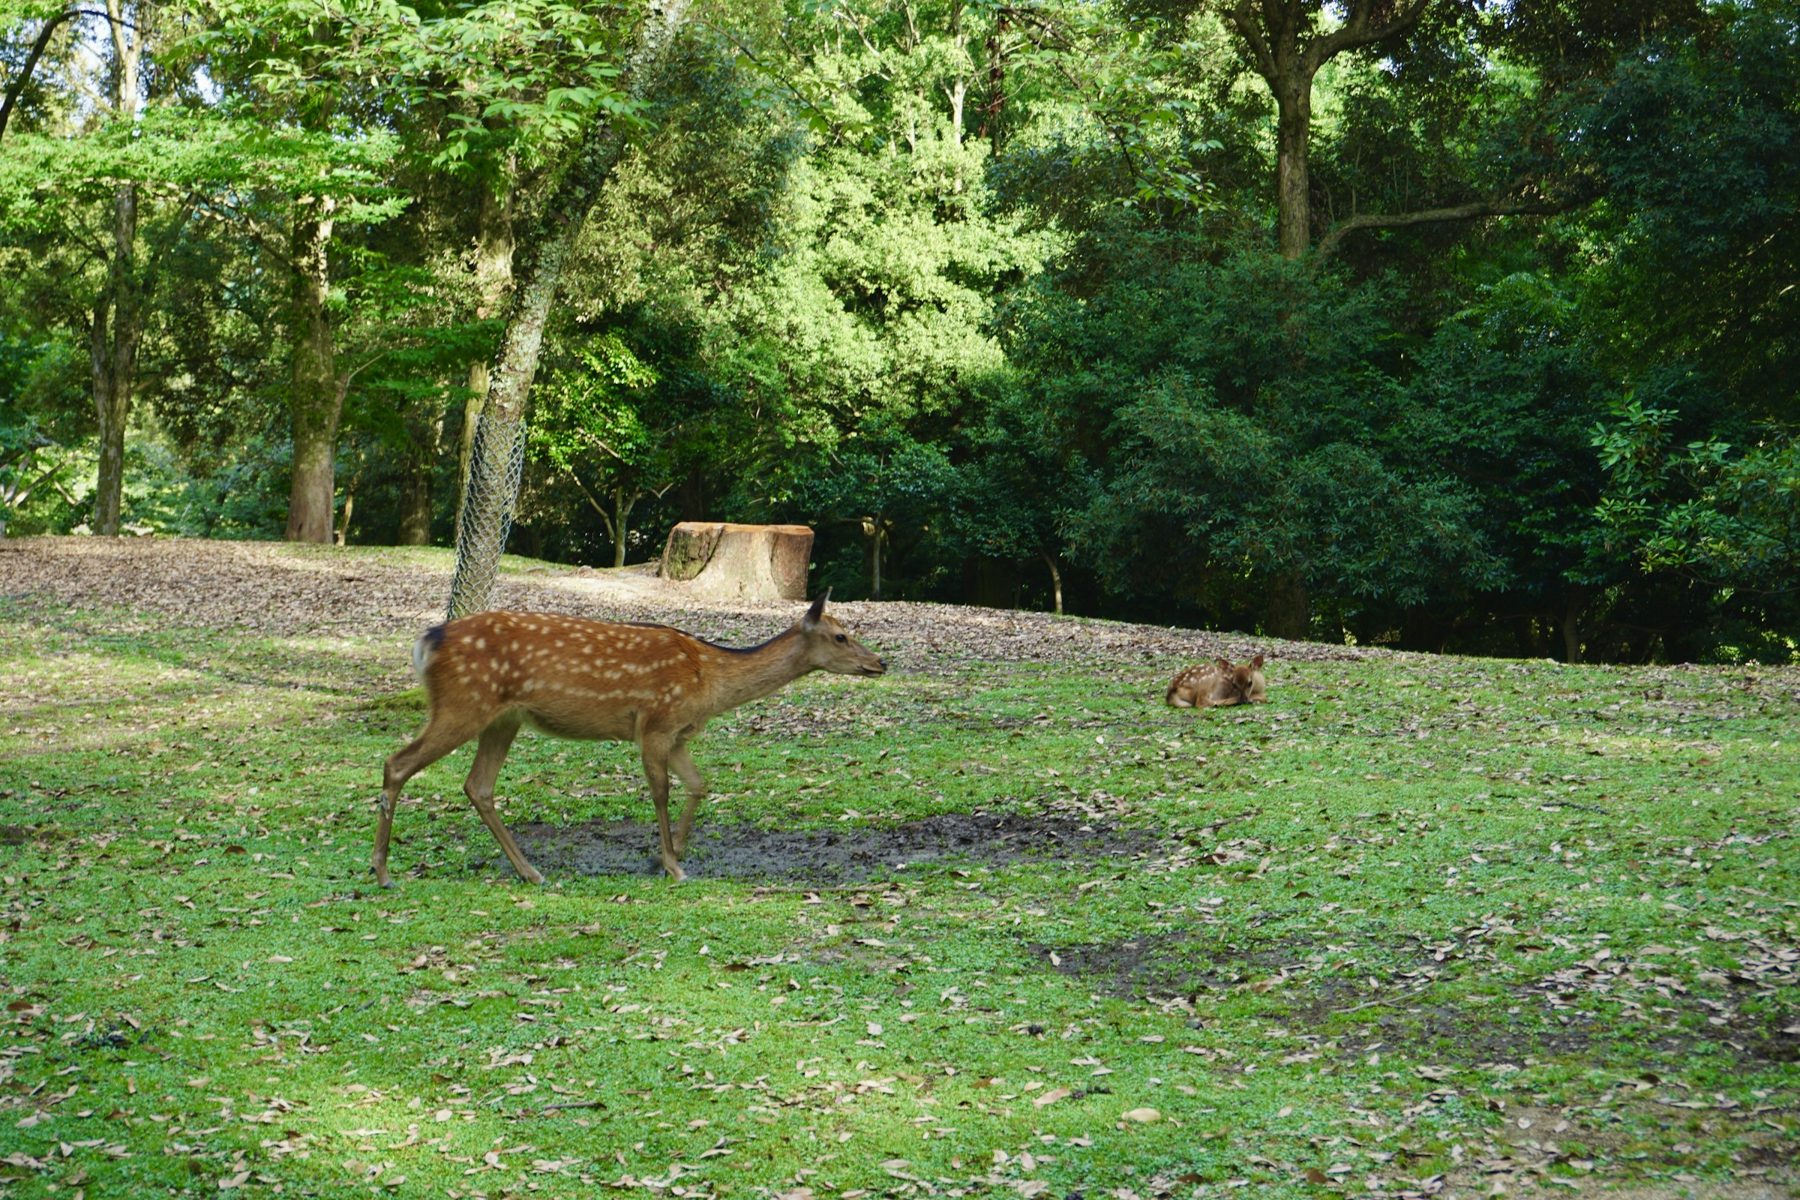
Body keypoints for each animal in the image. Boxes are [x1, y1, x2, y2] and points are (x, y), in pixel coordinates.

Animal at [373, 594, 885, 886]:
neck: (711, 681)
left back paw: (530, 871)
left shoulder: (679, 734)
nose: (880, 663)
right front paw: (673, 865)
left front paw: (671, 854)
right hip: (464, 704)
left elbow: (700, 784)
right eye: (841, 636)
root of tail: (425, 641)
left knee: (477, 785)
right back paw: (382, 872)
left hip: (504, 719)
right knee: (397, 763)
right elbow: (660, 792)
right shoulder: (655, 723)